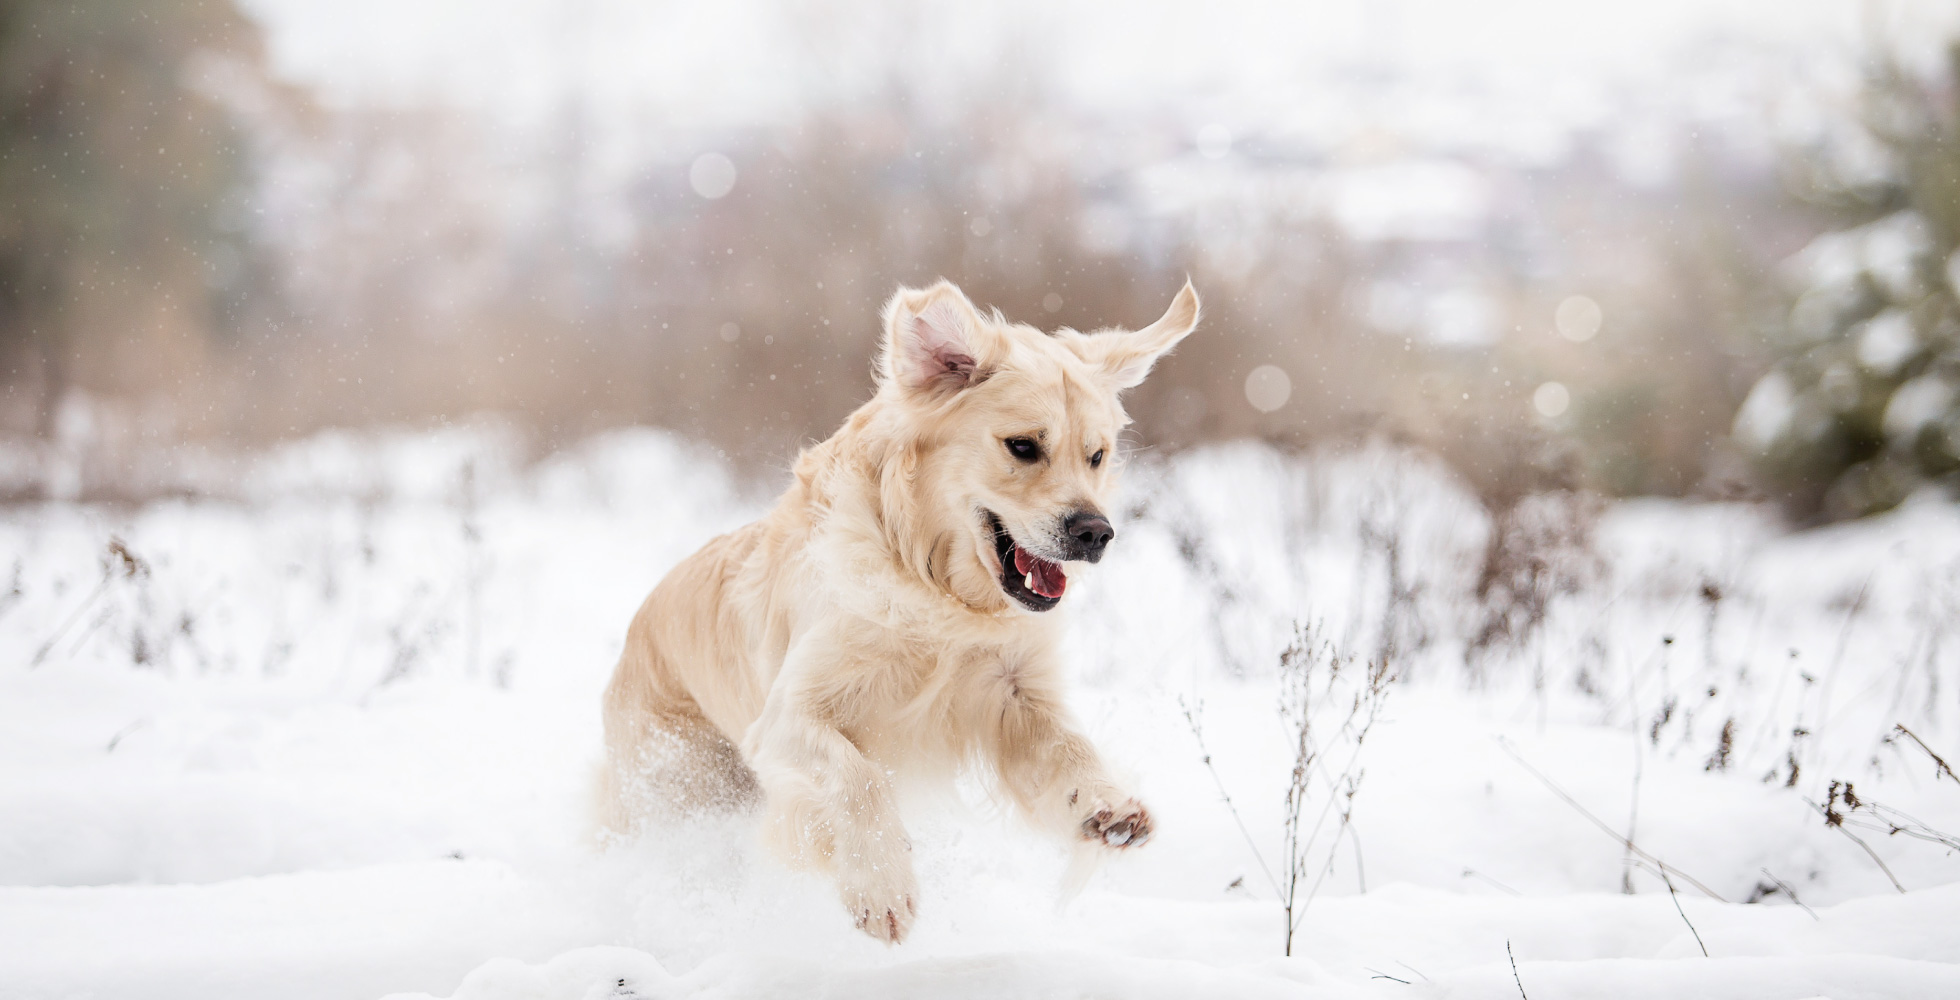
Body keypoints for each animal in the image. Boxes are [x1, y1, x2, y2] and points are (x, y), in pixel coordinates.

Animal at [595, 276, 1199, 941]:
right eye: (1023, 446)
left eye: (1097, 455)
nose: (1096, 532)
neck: (940, 591)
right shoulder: (785, 717)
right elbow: (858, 776)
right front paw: (882, 888)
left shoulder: (1013, 692)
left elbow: (1069, 748)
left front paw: (1108, 806)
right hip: (678, 787)